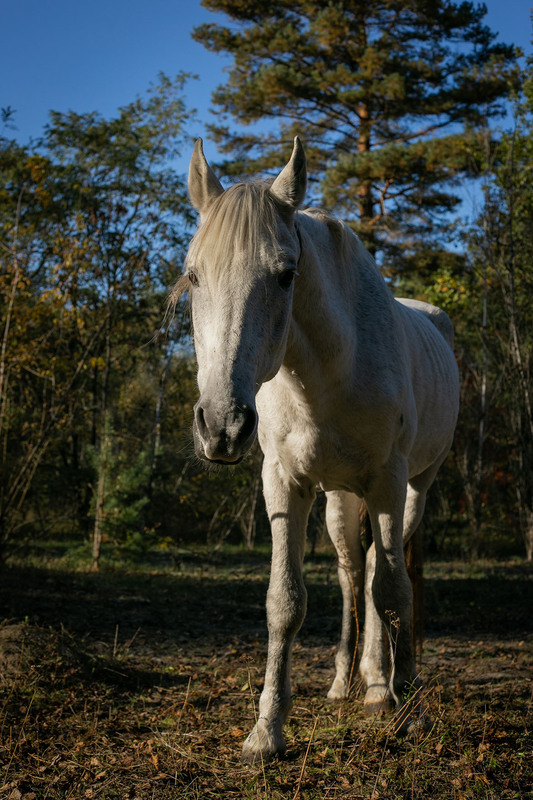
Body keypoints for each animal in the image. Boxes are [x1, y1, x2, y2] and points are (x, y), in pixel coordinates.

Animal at [177, 138, 460, 764]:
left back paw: (384, 687)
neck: (327, 373)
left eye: (286, 276)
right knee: (355, 574)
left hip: (414, 489)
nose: (221, 426)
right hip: (338, 500)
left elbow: (395, 591)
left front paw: (411, 711)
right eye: (193, 275)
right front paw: (266, 732)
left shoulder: (389, 481)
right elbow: (285, 602)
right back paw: (350, 683)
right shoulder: (285, 484)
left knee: (381, 571)